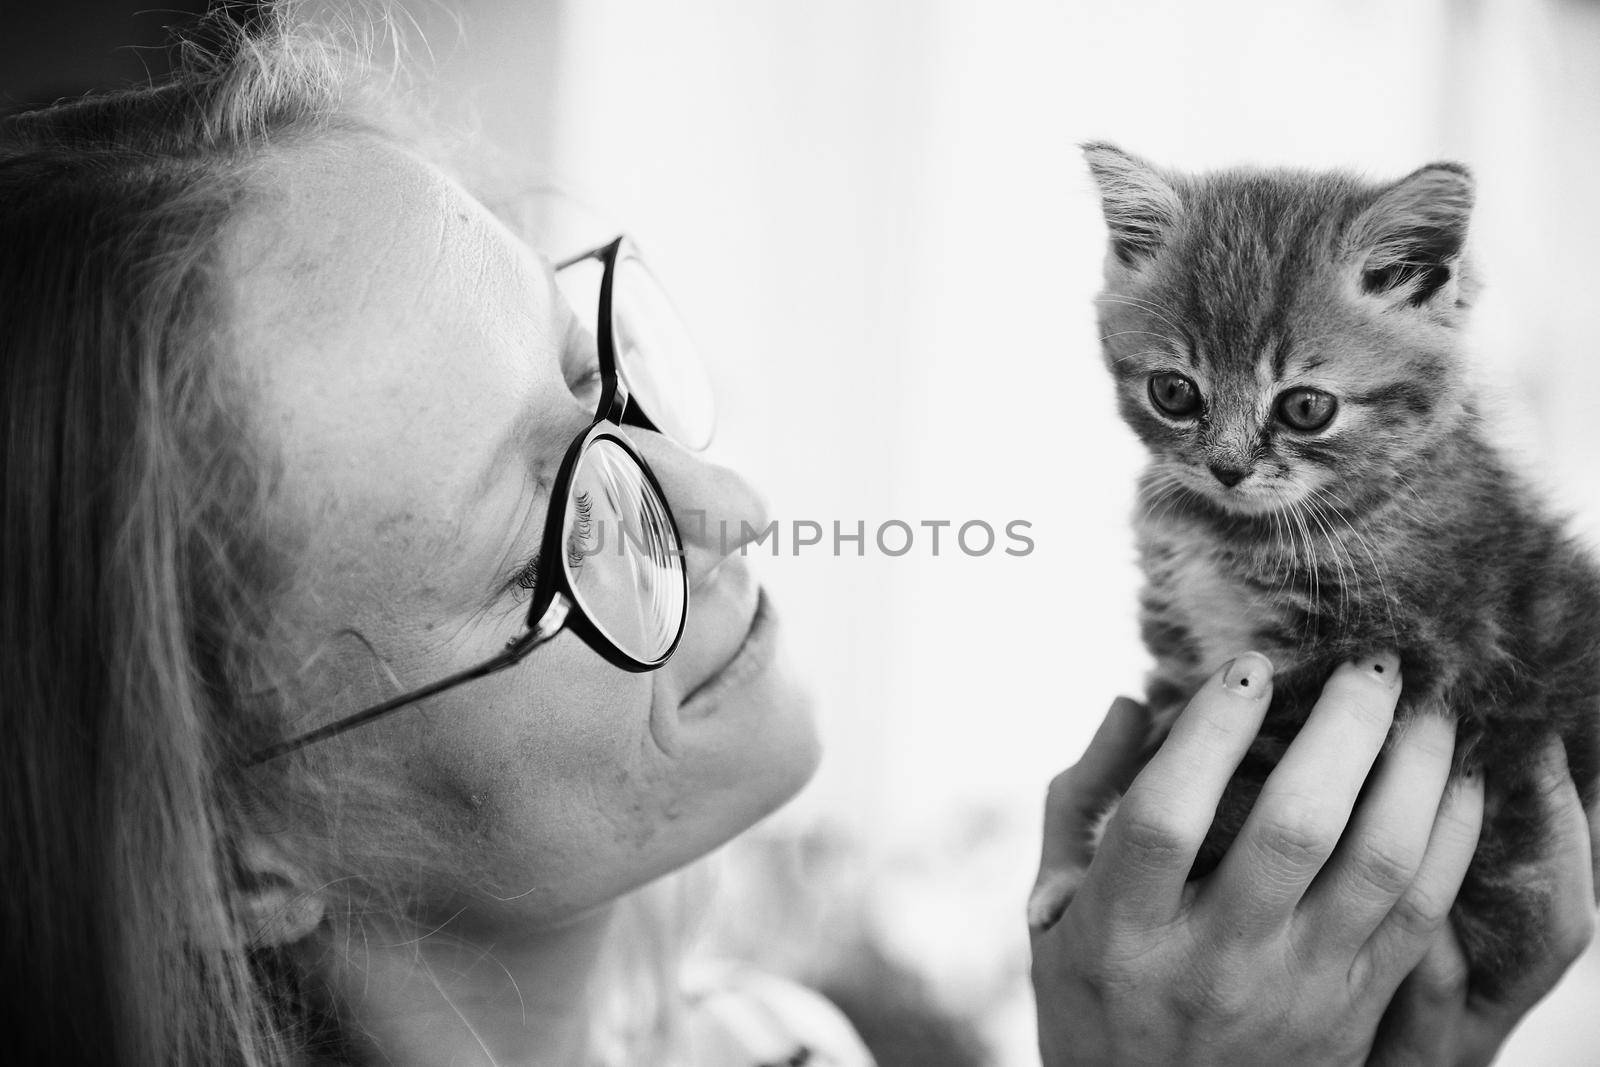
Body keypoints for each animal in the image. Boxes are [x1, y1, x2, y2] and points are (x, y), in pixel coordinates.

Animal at [1088, 143, 1600, 1004]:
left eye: (1306, 408)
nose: (1227, 469)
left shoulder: (1405, 656)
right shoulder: (1187, 643)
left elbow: (1256, 762)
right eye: (1174, 392)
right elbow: (1167, 724)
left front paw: (1098, 846)